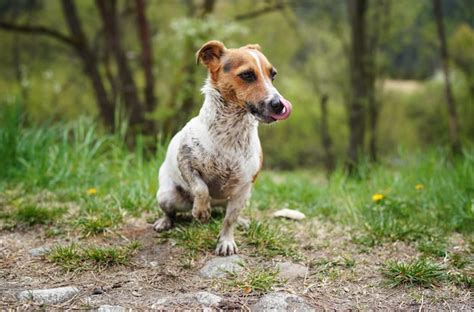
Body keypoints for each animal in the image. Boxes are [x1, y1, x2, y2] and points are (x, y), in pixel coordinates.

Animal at [154, 40, 292, 256]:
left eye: (273, 75)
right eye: (247, 75)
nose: (279, 105)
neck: (231, 134)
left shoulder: (243, 189)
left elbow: (229, 220)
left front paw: (226, 241)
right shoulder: (186, 163)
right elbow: (201, 188)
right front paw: (201, 210)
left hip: (240, 198)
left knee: (226, 213)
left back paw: (240, 220)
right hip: (166, 196)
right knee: (171, 212)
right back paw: (166, 221)